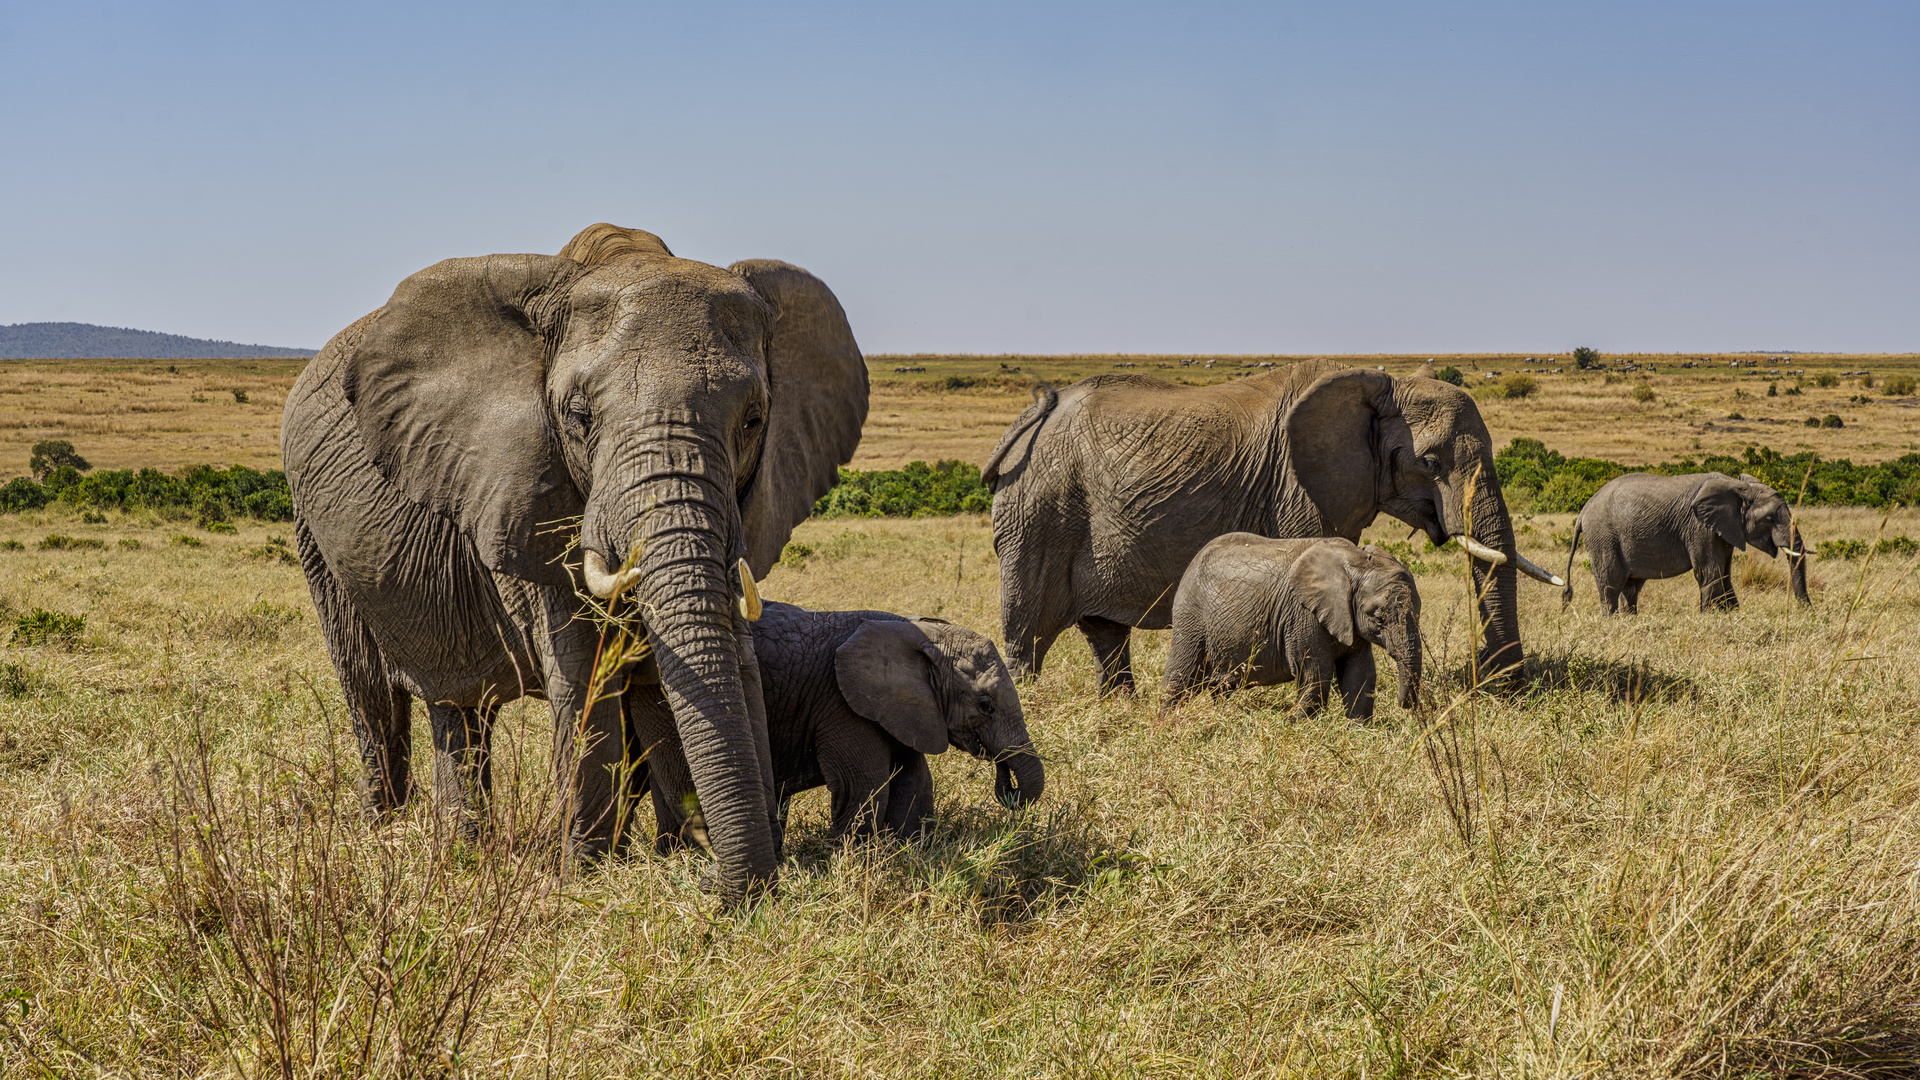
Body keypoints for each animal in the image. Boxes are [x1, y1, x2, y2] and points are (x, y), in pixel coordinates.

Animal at [282, 222, 871, 895]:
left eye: (753, 420)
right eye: (580, 417)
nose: (721, 884)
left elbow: (720, 662)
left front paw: (702, 861)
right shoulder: (527, 490)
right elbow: (587, 670)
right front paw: (585, 877)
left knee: (457, 706)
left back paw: (462, 850)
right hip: (314, 532)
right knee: (372, 694)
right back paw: (387, 833)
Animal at [633, 595, 1044, 841]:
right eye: (986, 705)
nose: (1007, 785)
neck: (920, 634)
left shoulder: (903, 709)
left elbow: (914, 781)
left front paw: (910, 851)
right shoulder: (842, 702)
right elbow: (861, 785)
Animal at [975, 357, 1559, 684]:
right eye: (1432, 463)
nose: (1502, 682)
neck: (1381, 381)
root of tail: (1028, 419)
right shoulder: (1298, 484)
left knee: (1105, 635)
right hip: (1038, 514)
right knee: (1028, 634)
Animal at [1152, 534, 1428, 718]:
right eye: (1378, 618)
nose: (1405, 706)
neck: (1356, 560)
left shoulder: (1349, 621)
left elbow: (1360, 675)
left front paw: (1357, 732)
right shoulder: (1302, 615)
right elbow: (1315, 674)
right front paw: (1298, 727)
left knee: (1221, 688)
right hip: (1191, 617)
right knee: (1179, 679)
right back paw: (1166, 727)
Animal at [1566, 466, 1804, 611]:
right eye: (1769, 518)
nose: (1805, 610)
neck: (1737, 487)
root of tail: (1584, 510)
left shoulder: (1724, 529)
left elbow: (1724, 575)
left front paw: (1731, 615)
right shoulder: (1699, 527)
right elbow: (1710, 572)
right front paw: (1710, 618)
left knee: (1630, 588)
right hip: (1603, 536)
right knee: (1611, 586)